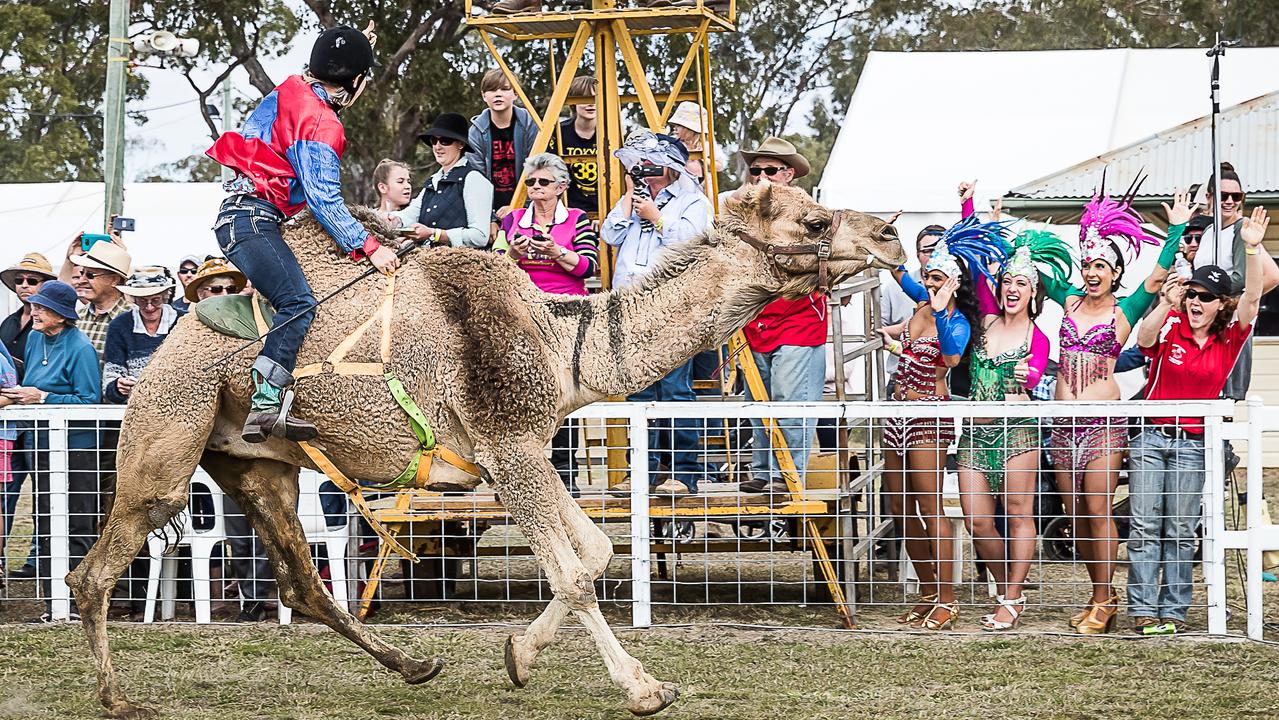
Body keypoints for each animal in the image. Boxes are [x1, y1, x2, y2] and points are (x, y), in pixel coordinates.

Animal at [64, 182, 905, 716]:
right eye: (815, 222)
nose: (891, 235)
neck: (563, 347)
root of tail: (164, 349)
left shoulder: (522, 449)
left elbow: (596, 552)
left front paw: (518, 657)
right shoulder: (509, 448)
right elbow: (575, 574)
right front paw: (642, 689)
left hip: (253, 464)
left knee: (302, 583)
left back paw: (414, 666)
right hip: (169, 433)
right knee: (94, 570)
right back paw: (117, 698)